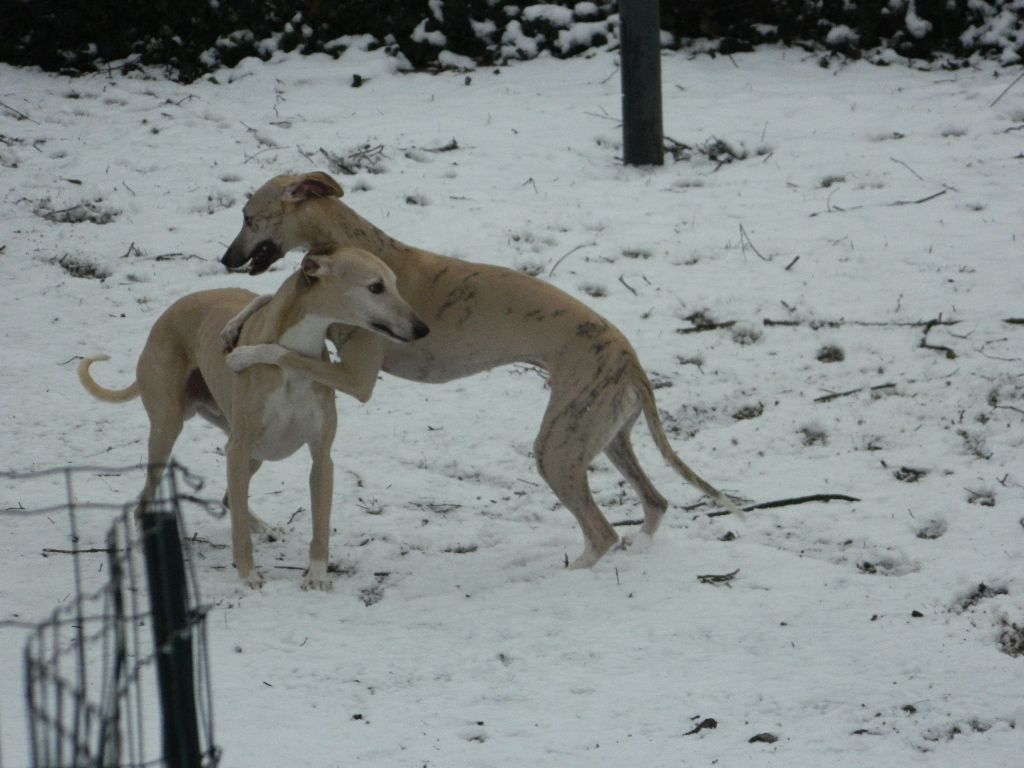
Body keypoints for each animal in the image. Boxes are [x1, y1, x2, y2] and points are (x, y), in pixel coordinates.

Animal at [79, 246, 428, 589]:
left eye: (395, 283)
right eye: (375, 287)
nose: (422, 328)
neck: (296, 352)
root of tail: (166, 316)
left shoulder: (321, 457)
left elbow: (320, 522)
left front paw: (316, 575)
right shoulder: (238, 447)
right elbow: (239, 532)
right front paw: (248, 574)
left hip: (253, 450)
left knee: (230, 498)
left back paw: (265, 526)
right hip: (169, 432)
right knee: (148, 502)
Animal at [222, 174, 745, 573]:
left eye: (248, 217)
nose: (225, 259)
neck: (354, 243)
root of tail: (630, 361)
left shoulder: (357, 377)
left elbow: (286, 352)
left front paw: (245, 355)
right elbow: (264, 301)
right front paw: (230, 328)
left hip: (559, 447)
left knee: (602, 532)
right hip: (607, 435)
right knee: (655, 501)